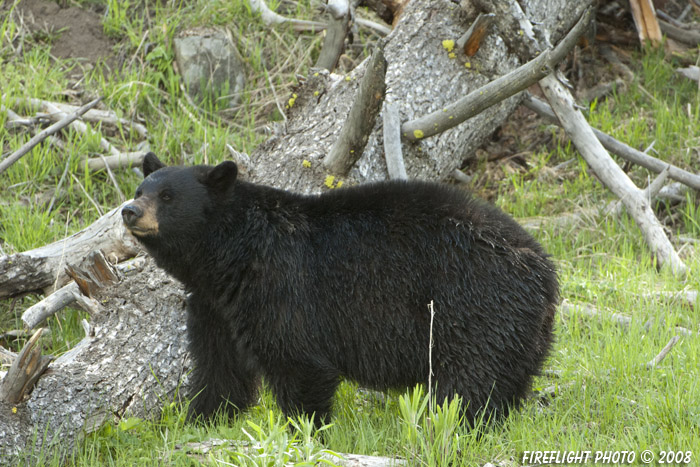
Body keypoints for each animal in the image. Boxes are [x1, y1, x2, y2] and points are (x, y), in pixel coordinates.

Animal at [120, 154, 556, 428]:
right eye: (141, 189)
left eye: (168, 197)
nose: (128, 210)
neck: (230, 258)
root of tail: (545, 270)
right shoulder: (216, 308)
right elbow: (219, 368)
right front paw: (200, 422)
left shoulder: (280, 288)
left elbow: (297, 362)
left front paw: (305, 433)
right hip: (517, 330)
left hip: (471, 308)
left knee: (469, 384)